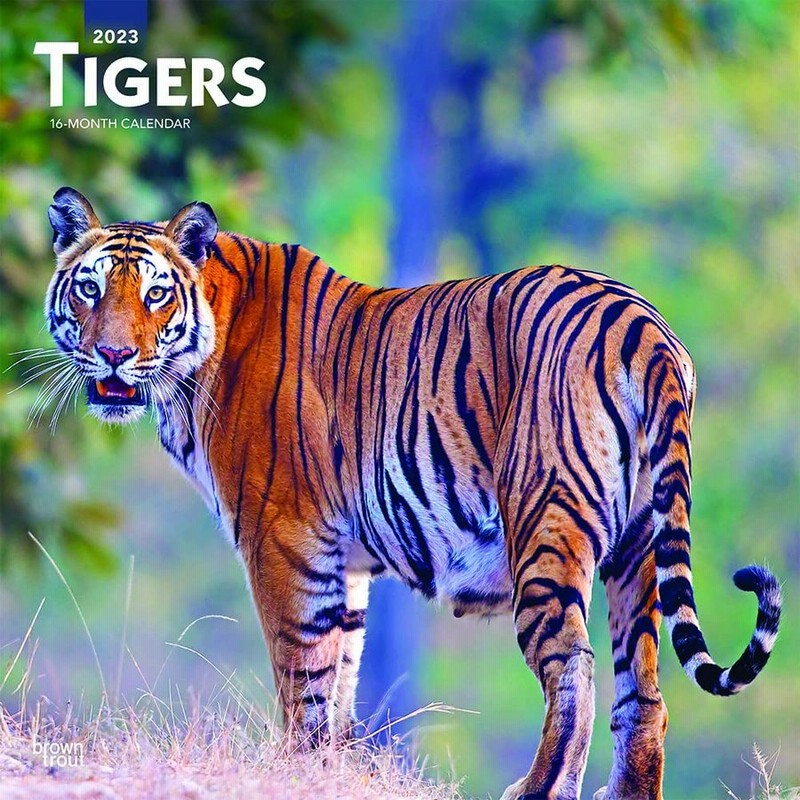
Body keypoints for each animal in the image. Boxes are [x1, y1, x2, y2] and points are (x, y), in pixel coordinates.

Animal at [43, 186, 781, 800]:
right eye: (90, 290)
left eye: (155, 296)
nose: (113, 356)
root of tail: (641, 323)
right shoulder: (342, 561)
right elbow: (339, 675)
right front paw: (331, 769)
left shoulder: (282, 539)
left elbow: (301, 673)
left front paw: (296, 770)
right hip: (638, 549)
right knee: (643, 695)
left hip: (546, 524)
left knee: (573, 667)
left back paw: (537, 788)